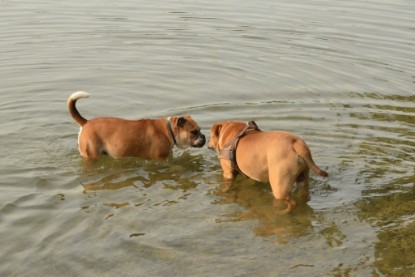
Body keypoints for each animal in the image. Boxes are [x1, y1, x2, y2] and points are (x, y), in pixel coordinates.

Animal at [67, 91, 206, 157]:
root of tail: (86, 122)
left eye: (200, 129)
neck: (169, 130)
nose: (204, 136)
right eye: (194, 132)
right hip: (91, 153)